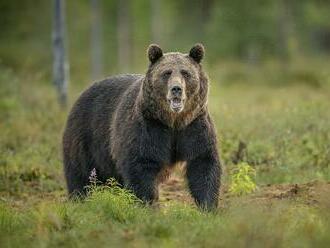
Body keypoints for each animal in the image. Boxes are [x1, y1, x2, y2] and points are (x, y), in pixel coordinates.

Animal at [62, 44, 222, 209]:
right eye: (167, 73)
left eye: (185, 73)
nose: (176, 89)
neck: (173, 121)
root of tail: (83, 93)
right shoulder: (149, 126)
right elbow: (141, 165)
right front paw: (147, 203)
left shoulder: (194, 126)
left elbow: (202, 162)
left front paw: (207, 205)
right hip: (86, 135)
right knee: (81, 173)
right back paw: (80, 199)